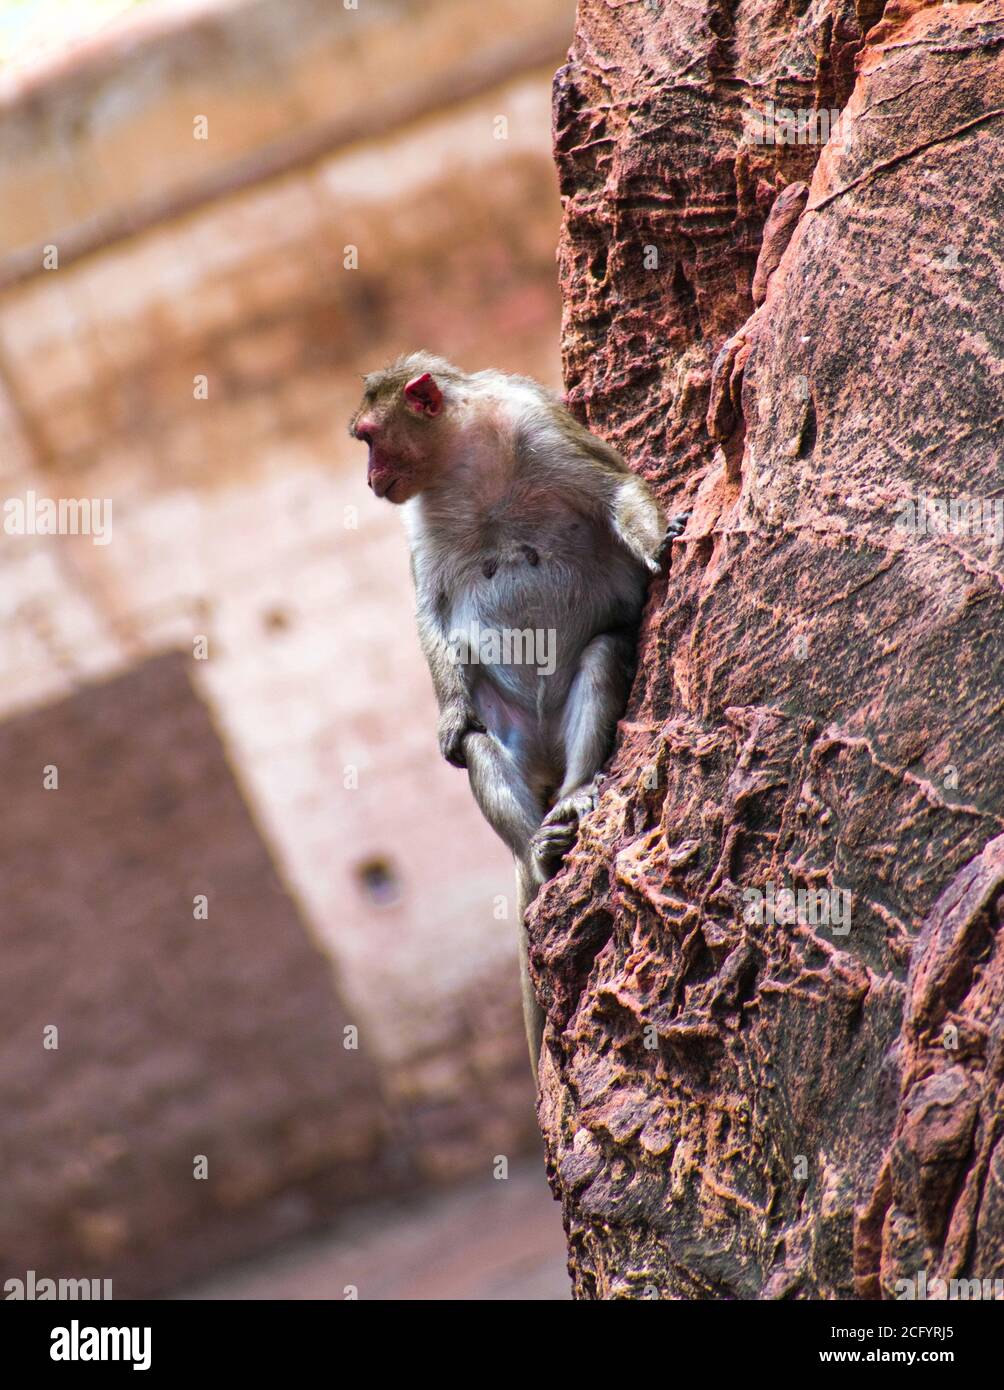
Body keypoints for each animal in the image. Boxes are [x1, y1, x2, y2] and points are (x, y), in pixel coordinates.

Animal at [349, 352, 686, 1082]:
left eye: (368, 438)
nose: (368, 478)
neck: (462, 456)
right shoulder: (420, 515)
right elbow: (433, 609)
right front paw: (449, 712)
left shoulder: (536, 424)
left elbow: (614, 488)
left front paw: (655, 541)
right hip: (519, 736)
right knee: (482, 745)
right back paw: (538, 849)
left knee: (601, 654)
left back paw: (578, 794)